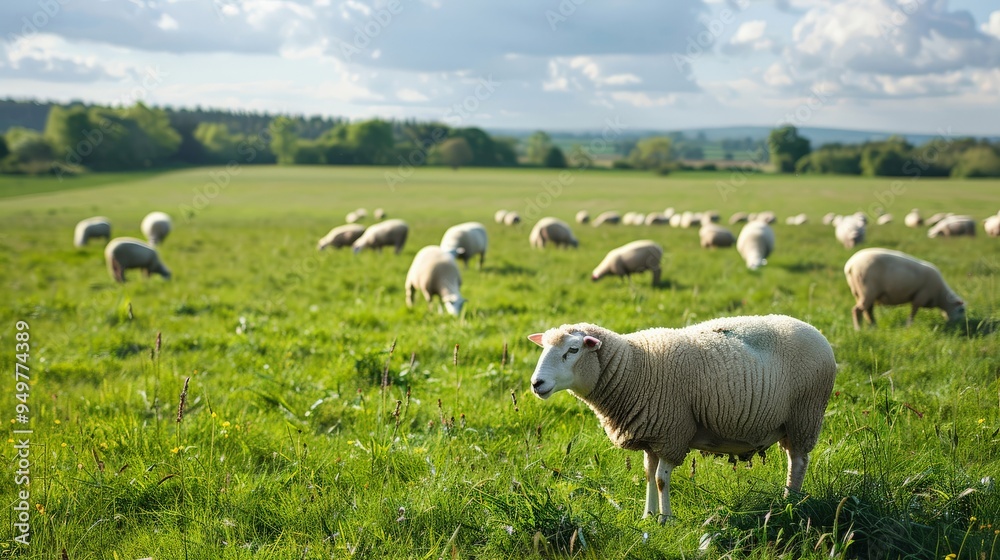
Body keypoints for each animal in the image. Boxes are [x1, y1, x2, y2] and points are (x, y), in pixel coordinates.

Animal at [527, 314, 837, 521]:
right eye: (544, 349)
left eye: (573, 350)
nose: (536, 384)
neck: (635, 367)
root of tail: (816, 331)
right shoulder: (652, 435)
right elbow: (649, 476)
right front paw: (647, 517)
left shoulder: (672, 433)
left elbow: (661, 480)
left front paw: (666, 520)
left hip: (805, 415)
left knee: (798, 461)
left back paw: (790, 501)